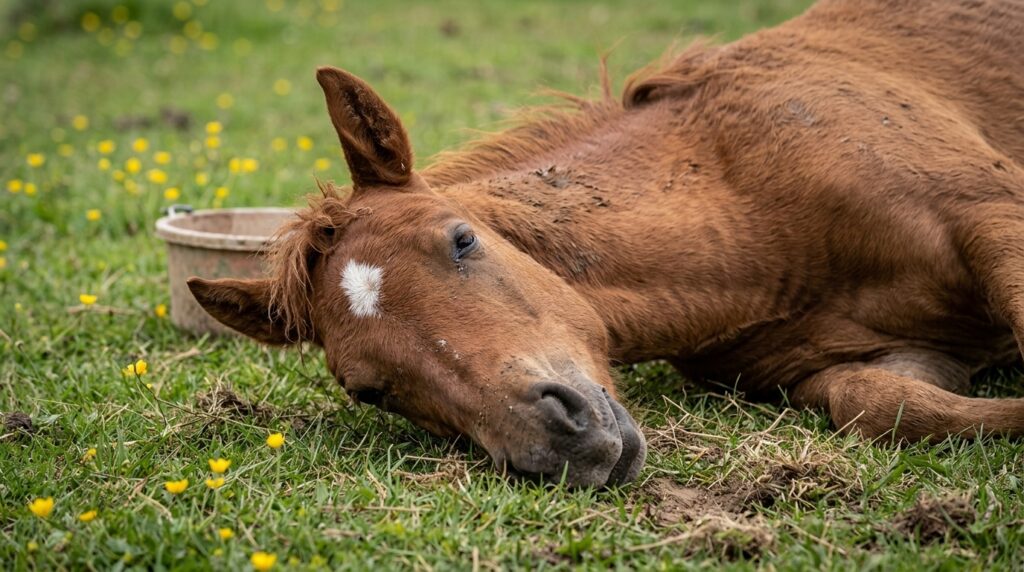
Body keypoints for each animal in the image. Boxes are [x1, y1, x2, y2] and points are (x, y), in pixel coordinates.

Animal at [188, 0, 1024, 487]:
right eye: (370, 389)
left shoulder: (992, 218)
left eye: (462, 241)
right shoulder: (868, 360)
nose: (561, 440)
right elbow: (883, 404)